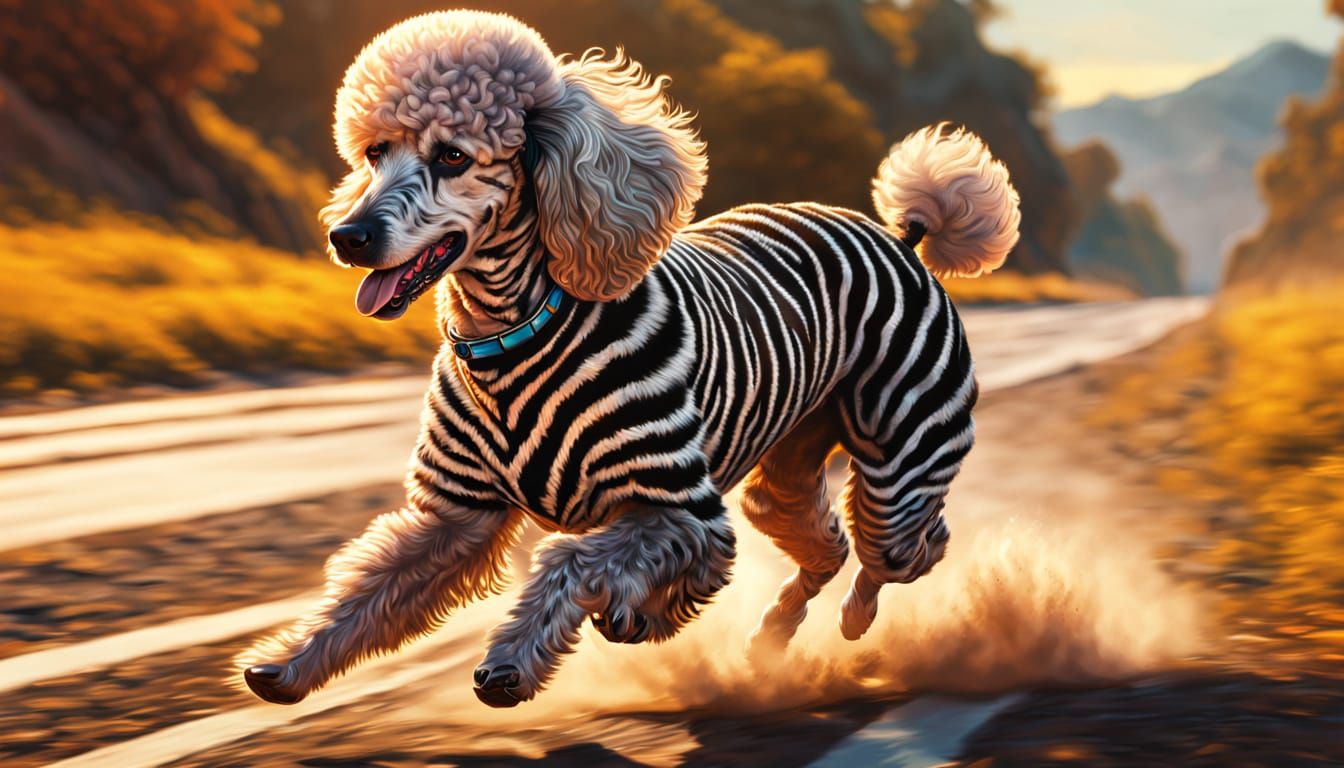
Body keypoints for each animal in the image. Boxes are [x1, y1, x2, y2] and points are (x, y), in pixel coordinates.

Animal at [238, 10, 1021, 709]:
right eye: (374, 153)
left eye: (453, 156)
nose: (347, 237)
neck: (514, 337)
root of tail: (901, 239)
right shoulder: (458, 512)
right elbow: (367, 585)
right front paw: (290, 662)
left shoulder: (679, 512)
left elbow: (568, 562)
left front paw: (514, 661)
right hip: (783, 479)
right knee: (826, 549)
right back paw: (768, 634)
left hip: (899, 466)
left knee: (912, 547)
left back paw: (856, 619)